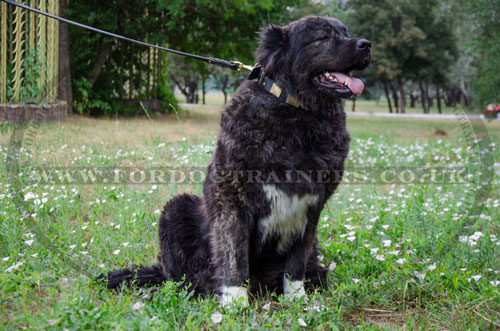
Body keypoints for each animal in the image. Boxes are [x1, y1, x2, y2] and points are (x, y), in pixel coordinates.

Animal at [101, 14, 370, 306]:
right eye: (323, 37)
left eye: (346, 32)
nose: (366, 44)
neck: (297, 114)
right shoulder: (231, 199)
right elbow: (234, 255)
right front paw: (235, 302)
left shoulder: (311, 207)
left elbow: (296, 259)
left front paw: (297, 298)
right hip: (176, 209)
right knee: (181, 277)